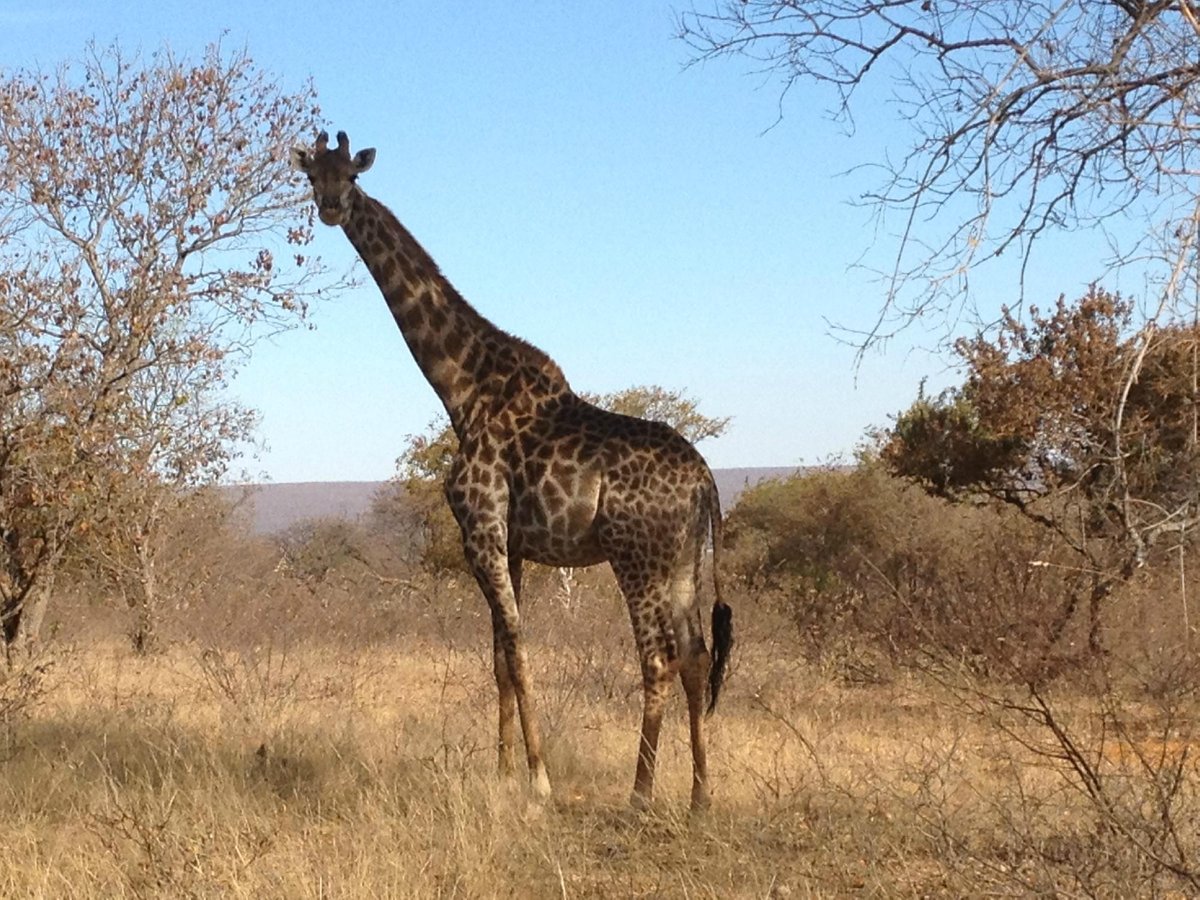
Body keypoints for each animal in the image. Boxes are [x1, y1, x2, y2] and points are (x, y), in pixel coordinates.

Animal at [292, 128, 729, 811]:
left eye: (351, 175)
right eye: (314, 175)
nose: (333, 206)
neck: (462, 389)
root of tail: (706, 480)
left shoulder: (482, 529)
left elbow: (519, 651)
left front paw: (539, 782)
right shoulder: (513, 543)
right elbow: (498, 657)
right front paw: (501, 775)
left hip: (638, 556)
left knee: (656, 660)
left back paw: (639, 795)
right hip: (682, 560)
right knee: (695, 656)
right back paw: (699, 797)